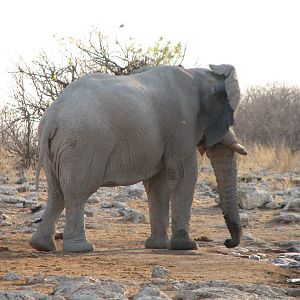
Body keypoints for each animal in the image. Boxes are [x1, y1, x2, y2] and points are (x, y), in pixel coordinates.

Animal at [29, 63, 246, 253]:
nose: (228, 242)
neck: (202, 73)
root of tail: (53, 115)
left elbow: (158, 183)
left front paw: (157, 246)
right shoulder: (182, 124)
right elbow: (184, 175)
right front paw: (187, 246)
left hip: (56, 146)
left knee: (57, 193)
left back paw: (41, 246)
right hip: (81, 144)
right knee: (76, 192)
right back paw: (81, 248)